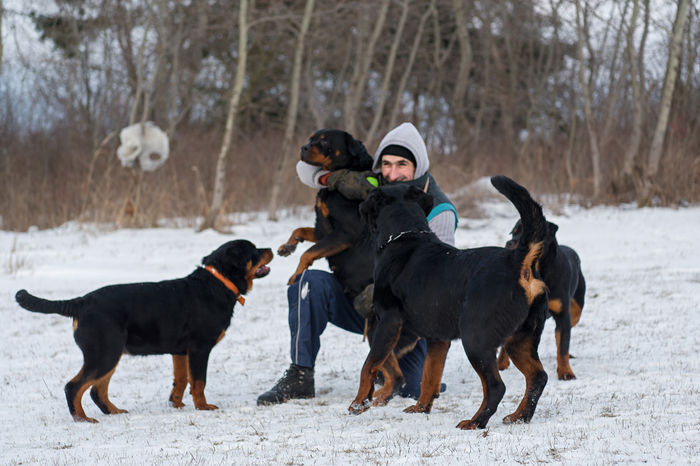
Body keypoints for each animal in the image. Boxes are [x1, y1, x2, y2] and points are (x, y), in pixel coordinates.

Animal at [15, 240, 274, 422]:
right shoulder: (199, 348)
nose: (271, 248)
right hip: (104, 354)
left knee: (97, 390)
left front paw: (176, 405)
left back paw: (114, 411)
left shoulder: (180, 351)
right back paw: (82, 419)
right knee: (74, 386)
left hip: (110, 354)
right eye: (252, 251)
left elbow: (181, 380)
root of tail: (81, 302)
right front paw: (203, 407)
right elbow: (199, 381)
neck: (218, 283)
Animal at [352, 177, 556, 430]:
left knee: (496, 387)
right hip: (520, 339)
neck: (404, 237)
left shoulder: (388, 322)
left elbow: (370, 364)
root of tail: (518, 262)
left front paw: (359, 403)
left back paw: (476, 421)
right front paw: (421, 408)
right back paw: (520, 416)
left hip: (476, 339)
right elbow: (429, 374)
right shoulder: (436, 337)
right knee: (537, 377)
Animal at [498, 218, 584, 378]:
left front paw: (566, 372)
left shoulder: (563, 315)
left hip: (576, 309)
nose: (509, 243)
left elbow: (563, 346)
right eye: (513, 233)